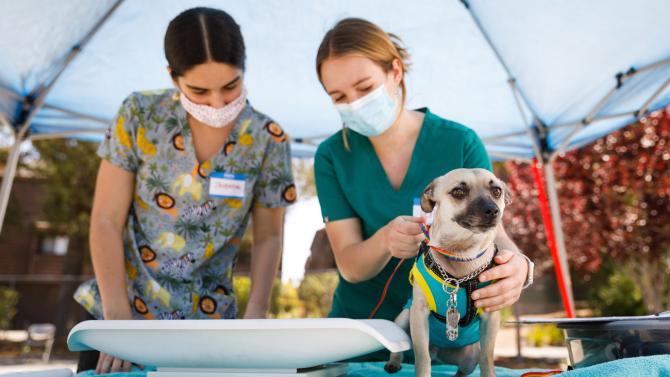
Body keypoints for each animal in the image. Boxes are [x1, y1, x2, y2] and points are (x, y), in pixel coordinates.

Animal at [386, 168, 512, 376]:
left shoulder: (490, 317)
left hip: (470, 357)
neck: (461, 254)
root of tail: (439, 351)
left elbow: (487, 357)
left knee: (464, 368)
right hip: (403, 318)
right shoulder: (418, 314)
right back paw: (393, 362)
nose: (493, 210)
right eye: (458, 192)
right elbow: (422, 359)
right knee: (400, 348)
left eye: (497, 191)